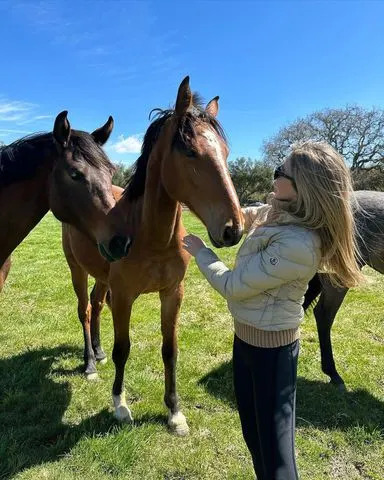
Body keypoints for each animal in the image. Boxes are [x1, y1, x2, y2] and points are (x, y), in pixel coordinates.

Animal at [62, 76, 243, 436]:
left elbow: (169, 350)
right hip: (77, 270)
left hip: (102, 277)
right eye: (190, 151)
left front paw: (174, 412)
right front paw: (120, 405)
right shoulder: (124, 297)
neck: (150, 236)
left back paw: (98, 353)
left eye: (226, 152)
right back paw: (90, 364)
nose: (233, 229)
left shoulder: (173, 293)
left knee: (96, 304)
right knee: (85, 310)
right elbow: (123, 349)